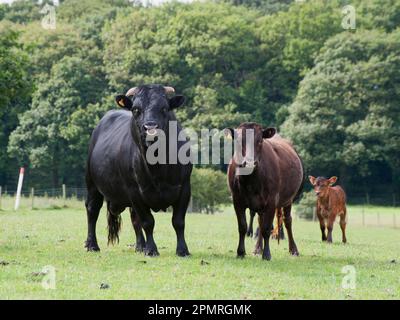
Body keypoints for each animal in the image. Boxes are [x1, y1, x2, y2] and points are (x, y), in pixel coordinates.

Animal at [84, 84, 192, 256]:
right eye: (135, 109)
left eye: (164, 108)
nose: (150, 128)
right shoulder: (135, 191)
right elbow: (148, 222)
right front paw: (152, 250)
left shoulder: (184, 188)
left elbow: (178, 221)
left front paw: (182, 250)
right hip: (92, 183)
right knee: (92, 210)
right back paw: (92, 245)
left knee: (134, 219)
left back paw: (140, 246)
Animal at [225, 122, 304, 260]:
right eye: (239, 141)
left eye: (260, 141)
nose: (249, 162)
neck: (250, 181)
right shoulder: (237, 200)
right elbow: (242, 226)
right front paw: (241, 252)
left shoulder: (271, 200)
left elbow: (267, 228)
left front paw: (267, 254)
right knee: (260, 221)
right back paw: (257, 248)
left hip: (288, 199)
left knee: (287, 220)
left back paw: (293, 249)